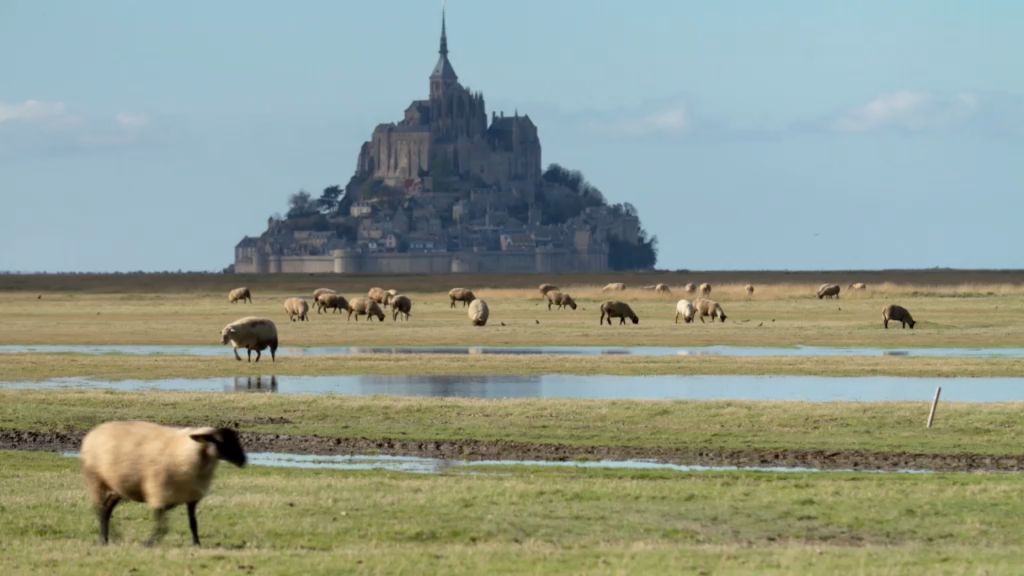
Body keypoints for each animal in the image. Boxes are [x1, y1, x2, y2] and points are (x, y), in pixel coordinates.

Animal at [79, 416, 245, 541]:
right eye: (220, 442)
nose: (243, 460)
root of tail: (94, 432)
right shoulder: (158, 493)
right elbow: (162, 527)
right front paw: (147, 543)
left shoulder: (191, 497)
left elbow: (193, 523)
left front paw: (196, 543)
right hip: (95, 480)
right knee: (99, 509)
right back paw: (105, 539)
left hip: (117, 486)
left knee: (106, 509)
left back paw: (108, 539)